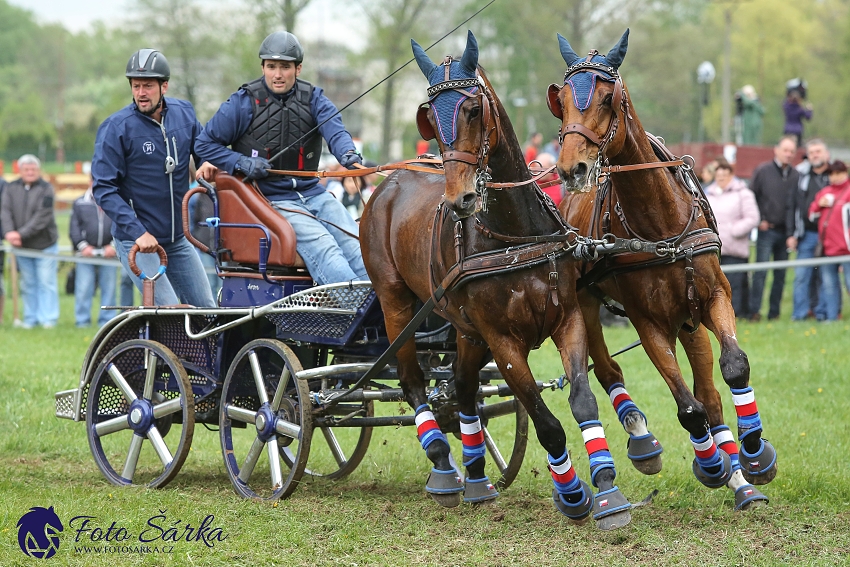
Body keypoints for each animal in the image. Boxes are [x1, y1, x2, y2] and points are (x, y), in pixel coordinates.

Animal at [358, 30, 628, 528]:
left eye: (472, 110)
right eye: (431, 118)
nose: (459, 198)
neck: (513, 234)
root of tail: (388, 184)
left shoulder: (567, 320)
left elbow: (582, 400)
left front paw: (606, 489)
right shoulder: (502, 341)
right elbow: (545, 421)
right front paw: (572, 494)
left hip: (465, 330)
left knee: (463, 391)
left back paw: (477, 476)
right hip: (396, 304)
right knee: (413, 382)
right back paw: (444, 468)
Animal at [548, 28, 776, 512]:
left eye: (607, 98)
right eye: (563, 100)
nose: (572, 167)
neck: (661, 224)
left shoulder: (714, 297)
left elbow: (733, 369)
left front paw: (753, 453)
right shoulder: (648, 321)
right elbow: (687, 408)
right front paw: (710, 464)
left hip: (688, 319)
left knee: (710, 392)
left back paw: (741, 480)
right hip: (588, 303)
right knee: (609, 371)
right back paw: (645, 439)